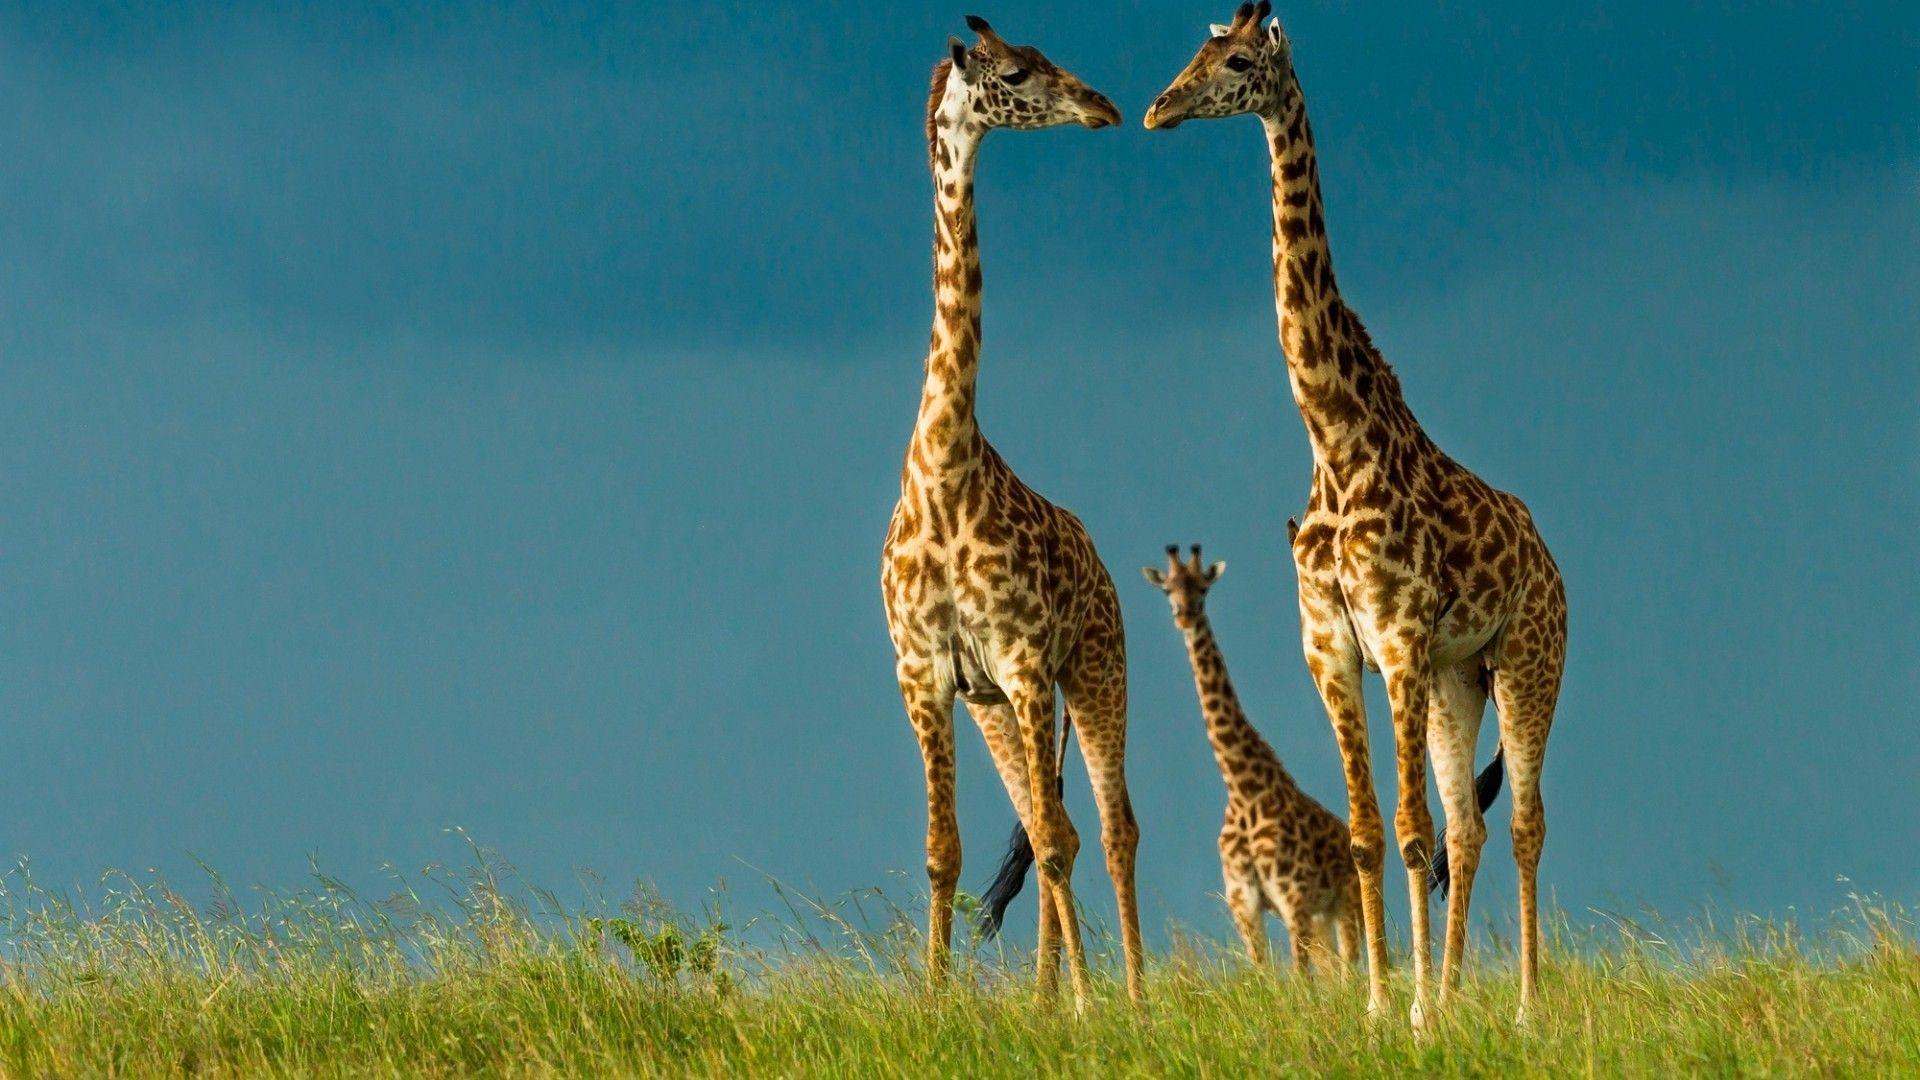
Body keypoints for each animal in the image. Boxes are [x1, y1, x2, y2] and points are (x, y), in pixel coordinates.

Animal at [879, 17, 1143, 1009]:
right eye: (1020, 71)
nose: (1103, 105)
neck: (944, 471)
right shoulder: (926, 675)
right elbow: (941, 851)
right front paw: (933, 999)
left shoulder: (1030, 662)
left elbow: (1063, 845)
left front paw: (1083, 1006)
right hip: (996, 701)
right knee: (1045, 821)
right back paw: (1049, 994)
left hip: (1096, 668)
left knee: (1106, 828)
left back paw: (1122, 994)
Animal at [1141, 543, 1360, 975]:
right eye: (1168, 589)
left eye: (1203, 588)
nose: (1184, 616)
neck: (1243, 789)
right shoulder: (1245, 902)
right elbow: (1264, 972)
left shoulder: (1292, 896)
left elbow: (1299, 976)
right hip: (1322, 914)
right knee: (1335, 972)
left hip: (1346, 901)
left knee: (1351, 966)